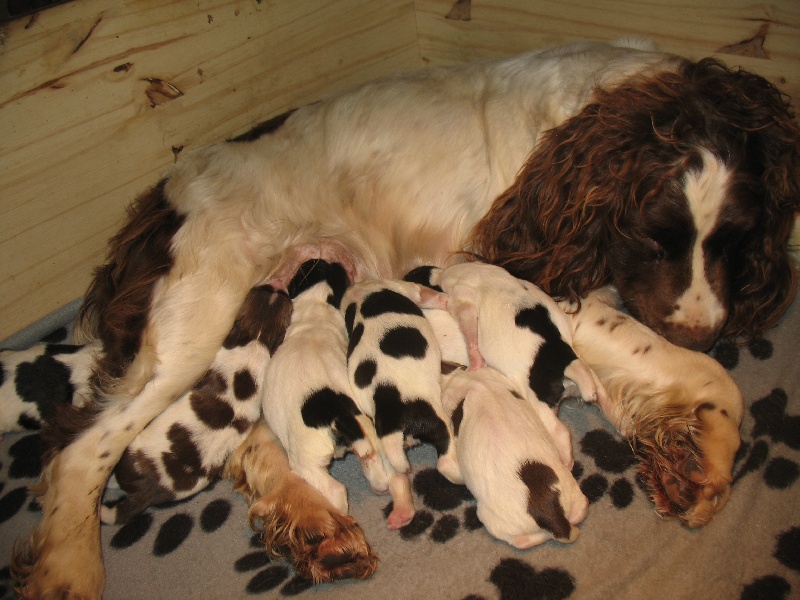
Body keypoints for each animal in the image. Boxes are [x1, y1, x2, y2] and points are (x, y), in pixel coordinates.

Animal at [440, 366, 592, 548]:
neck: (475, 383)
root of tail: (556, 519)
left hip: (493, 520)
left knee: (521, 540)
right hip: (573, 492)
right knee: (580, 508)